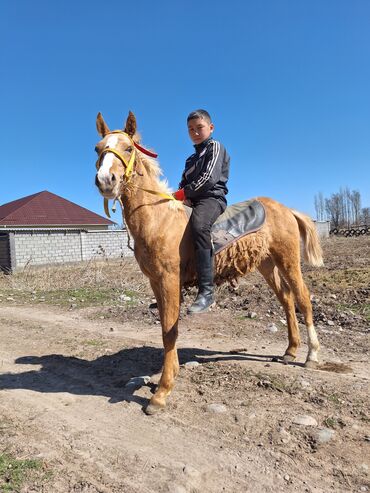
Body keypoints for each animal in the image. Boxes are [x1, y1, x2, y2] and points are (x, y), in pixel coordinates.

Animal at [94, 112, 322, 416]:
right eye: (98, 148)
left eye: (128, 148)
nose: (105, 180)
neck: (158, 217)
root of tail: (287, 209)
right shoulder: (156, 282)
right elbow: (167, 330)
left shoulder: (169, 280)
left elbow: (169, 331)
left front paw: (162, 392)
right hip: (267, 265)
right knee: (286, 300)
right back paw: (290, 351)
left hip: (288, 260)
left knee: (303, 299)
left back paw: (311, 355)